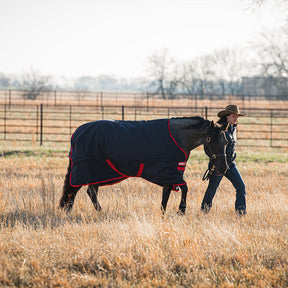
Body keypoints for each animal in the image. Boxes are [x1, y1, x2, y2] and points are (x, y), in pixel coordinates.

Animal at [59, 116, 228, 215]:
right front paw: (181, 210)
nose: (223, 168)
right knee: (82, 191)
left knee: (87, 191)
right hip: (89, 170)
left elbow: (167, 195)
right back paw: (100, 213)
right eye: (214, 141)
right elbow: (184, 188)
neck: (177, 137)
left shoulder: (169, 173)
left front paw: (163, 214)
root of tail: (77, 133)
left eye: (226, 142)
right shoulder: (169, 172)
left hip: (96, 173)